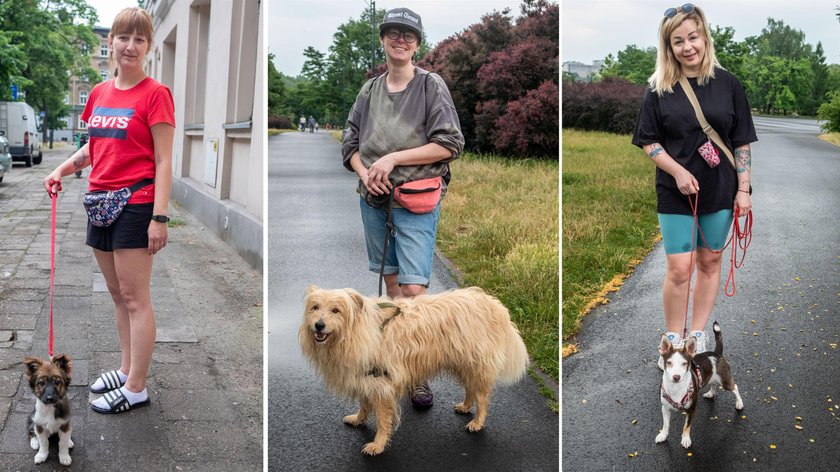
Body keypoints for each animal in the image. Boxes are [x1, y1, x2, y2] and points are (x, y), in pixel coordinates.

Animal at [298, 286, 528, 456]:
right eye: (315, 307)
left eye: (336, 310)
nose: (319, 325)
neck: (358, 330)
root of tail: (494, 304)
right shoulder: (365, 378)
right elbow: (364, 403)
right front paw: (359, 419)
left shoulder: (381, 384)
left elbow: (382, 420)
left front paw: (378, 444)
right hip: (463, 363)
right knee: (470, 389)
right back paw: (465, 406)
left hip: (475, 365)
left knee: (482, 397)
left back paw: (477, 422)